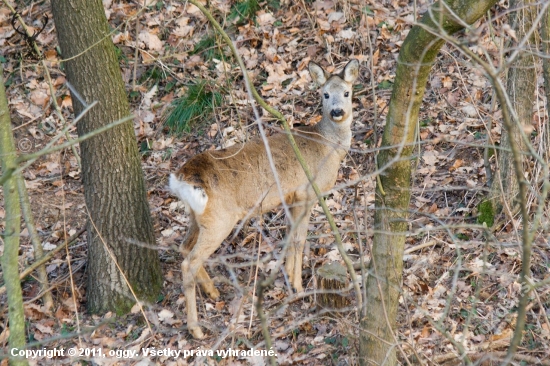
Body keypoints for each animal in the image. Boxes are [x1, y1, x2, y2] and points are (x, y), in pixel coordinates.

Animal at [172, 59, 362, 338]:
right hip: (220, 220)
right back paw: (196, 329)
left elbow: (290, 237)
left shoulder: (291, 197)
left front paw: (290, 281)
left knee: (184, 248)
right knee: (189, 262)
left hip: (196, 215)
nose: (337, 111)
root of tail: (182, 177)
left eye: (347, 93)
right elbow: (299, 240)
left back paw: (213, 291)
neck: (327, 147)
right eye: (325, 94)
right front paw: (299, 288)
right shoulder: (307, 192)